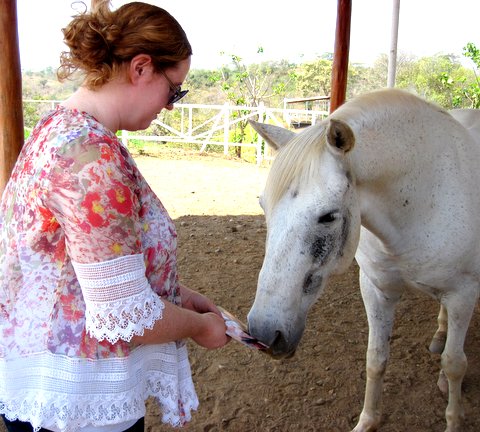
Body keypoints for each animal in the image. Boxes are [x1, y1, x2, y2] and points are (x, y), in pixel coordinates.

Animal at [248, 88, 480, 432]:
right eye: (263, 206)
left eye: (328, 216)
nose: (264, 331)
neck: (425, 199)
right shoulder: (376, 290)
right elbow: (376, 358)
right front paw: (368, 421)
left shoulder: (462, 295)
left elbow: (454, 365)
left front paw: (453, 419)